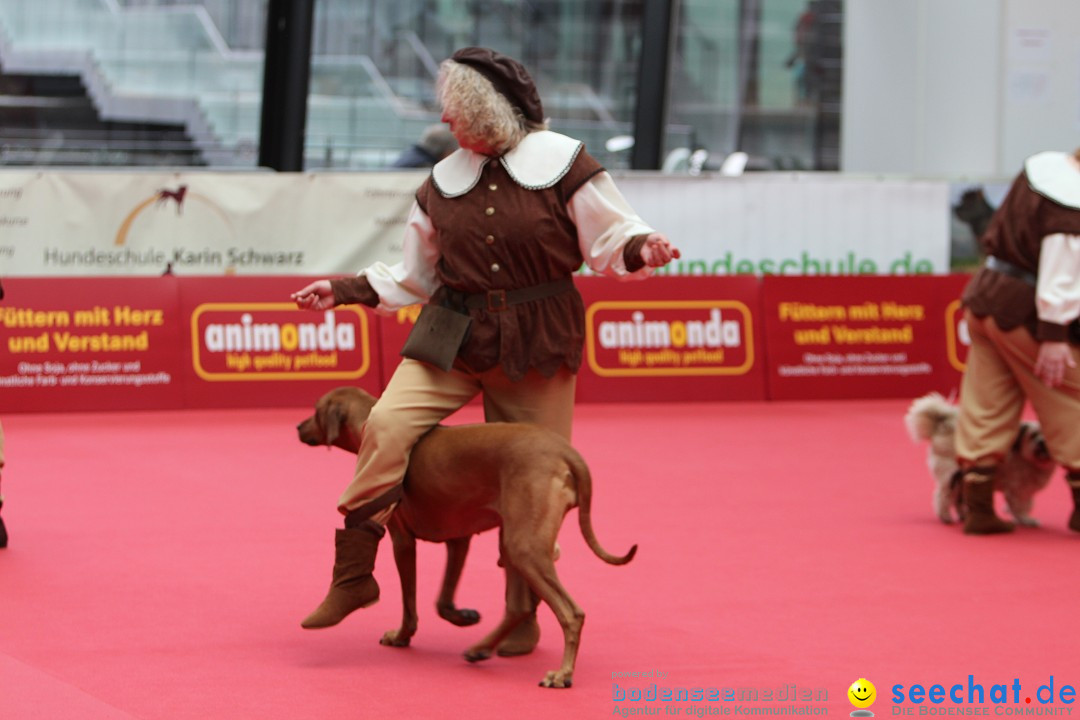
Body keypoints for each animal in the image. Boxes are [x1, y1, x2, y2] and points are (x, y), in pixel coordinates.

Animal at [902, 395, 1054, 524]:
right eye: (1033, 435)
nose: (1041, 442)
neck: (1028, 459)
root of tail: (942, 428)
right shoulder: (1017, 489)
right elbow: (1020, 506)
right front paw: (1025, 519)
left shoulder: (1026, 491)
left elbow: (1025, 505)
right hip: (951, 476)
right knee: (943, 497)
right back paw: (946, 517)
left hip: (962, 480)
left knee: (957, 500)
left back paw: (963, 516)